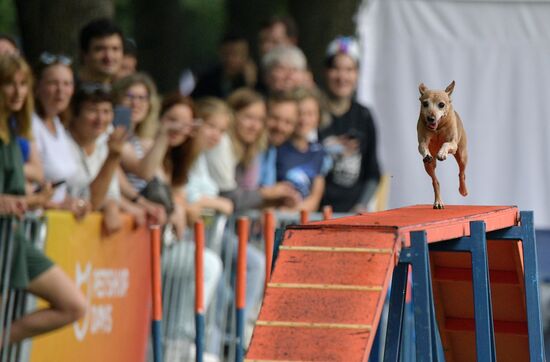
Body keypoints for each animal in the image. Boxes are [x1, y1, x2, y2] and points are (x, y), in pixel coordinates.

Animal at [418, 80, 470, 209]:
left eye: (441, 104)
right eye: (425, 103)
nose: (430, 118)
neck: (437, 128)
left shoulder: (453, 144)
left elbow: (446, 144)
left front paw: (442, 154)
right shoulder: (422, 141)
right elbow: (423, 146)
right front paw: (427, 154)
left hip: (462, 156)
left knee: (462, 173)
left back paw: (463, 190)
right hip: (429, 166)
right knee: (435, 181)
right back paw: (438, 202)